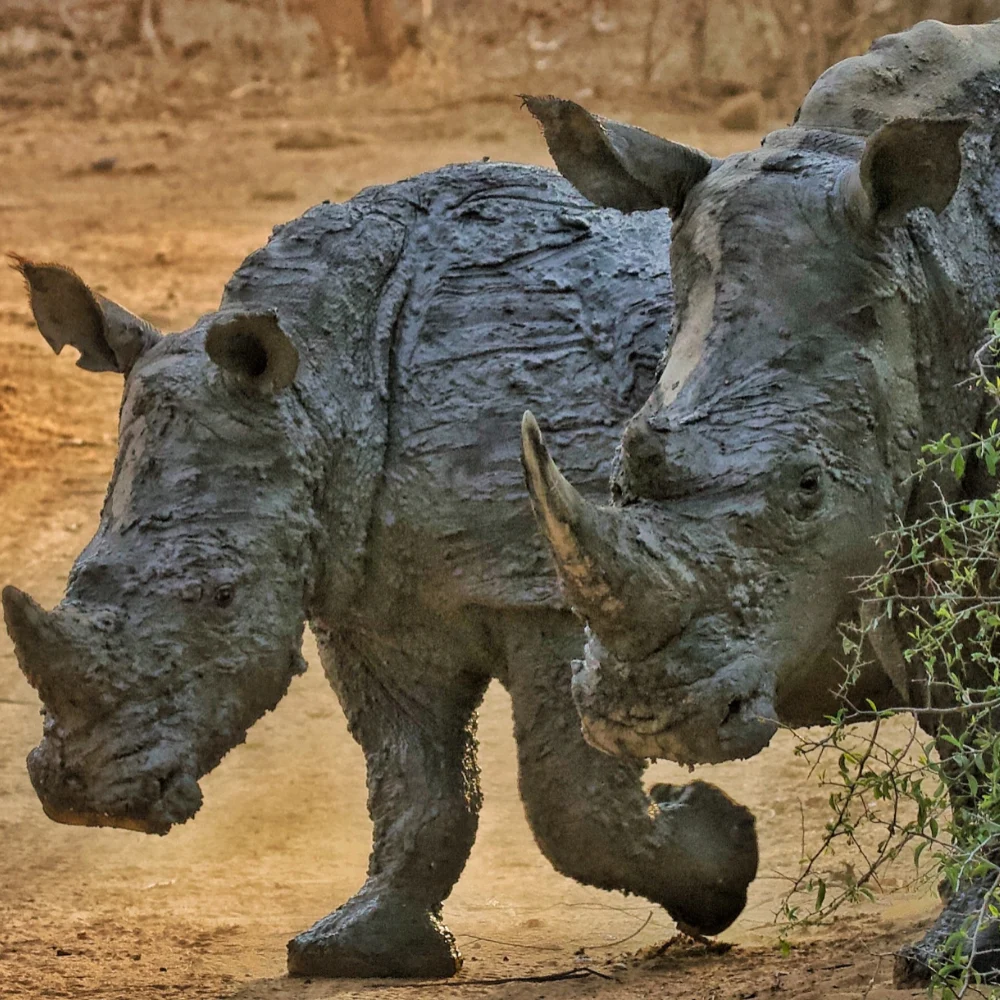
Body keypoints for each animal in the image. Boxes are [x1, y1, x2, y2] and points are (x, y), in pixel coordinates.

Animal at [2, 161, 758, 979]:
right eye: (80, 575)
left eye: (222, 597)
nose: (85, 799)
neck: (327, 382)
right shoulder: (372, 595)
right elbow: (415, 782)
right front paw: (358, 949)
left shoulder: (553, 579)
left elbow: (572, 800)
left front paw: (722, 856)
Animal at [520, 18, 1000, 983]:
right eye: (617, 481)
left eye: (807, 488)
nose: (643, 719)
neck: (935, 259)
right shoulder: (913, 515)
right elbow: (958, 702)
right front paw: (956, 941)